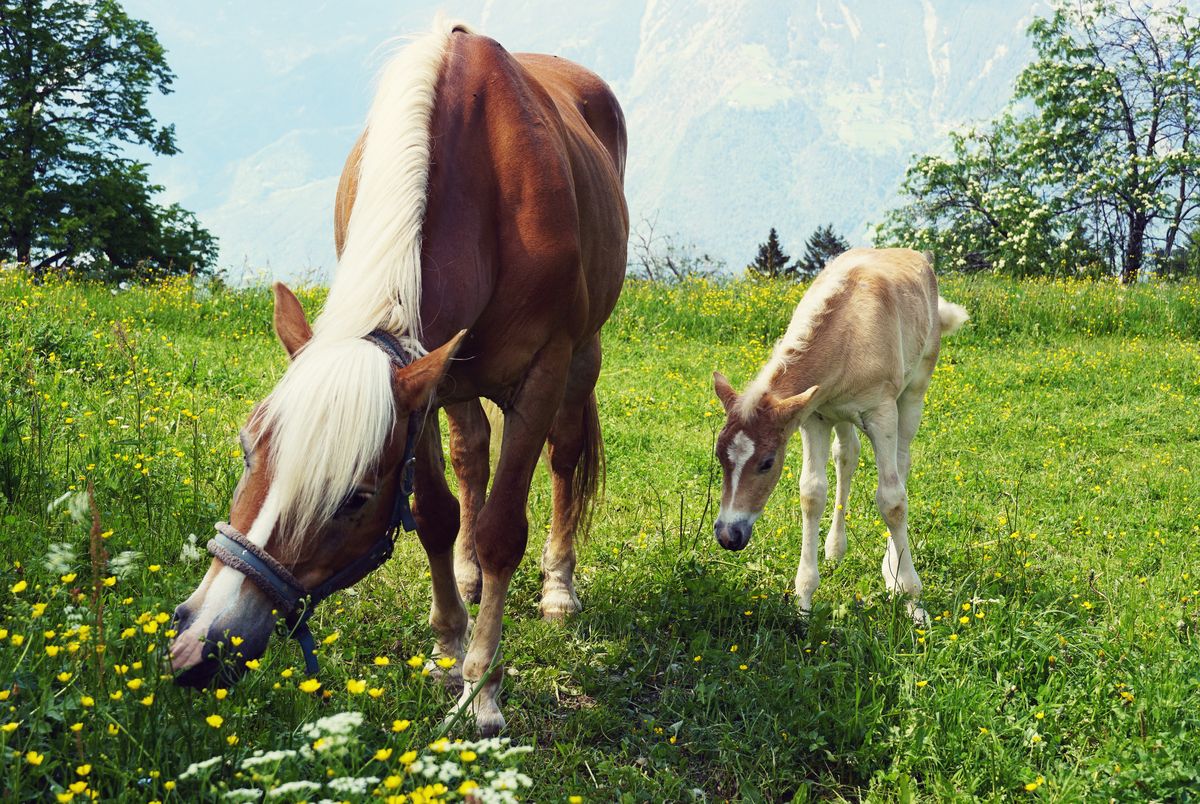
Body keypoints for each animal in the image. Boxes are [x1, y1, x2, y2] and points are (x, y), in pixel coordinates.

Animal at [169, 17, 628, 736]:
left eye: (354, 498)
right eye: (247, 452)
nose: (200, 645)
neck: (484, 179)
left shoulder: (541, 371)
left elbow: (503, 530)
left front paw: (482, 689)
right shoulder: (425, 383)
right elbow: (436, 514)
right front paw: (447, 651)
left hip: (582, 359)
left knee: (563, 455)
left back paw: (558, 586)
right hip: (462, 382)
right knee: (472, 454)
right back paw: (467, 577)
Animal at [711, 248, 967, 623]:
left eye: (767, 462)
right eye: (719, 456)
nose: (729, 534)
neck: (849, 333)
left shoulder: (881, 413)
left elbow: (892, 499)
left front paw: (911, 596)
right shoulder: (814, 416)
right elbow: (811, 493)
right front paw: (804, 601)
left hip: (915, 390)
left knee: (901, 463)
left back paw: (892, 568)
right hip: (840, 416)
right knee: (847, 456)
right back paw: (835, 547)